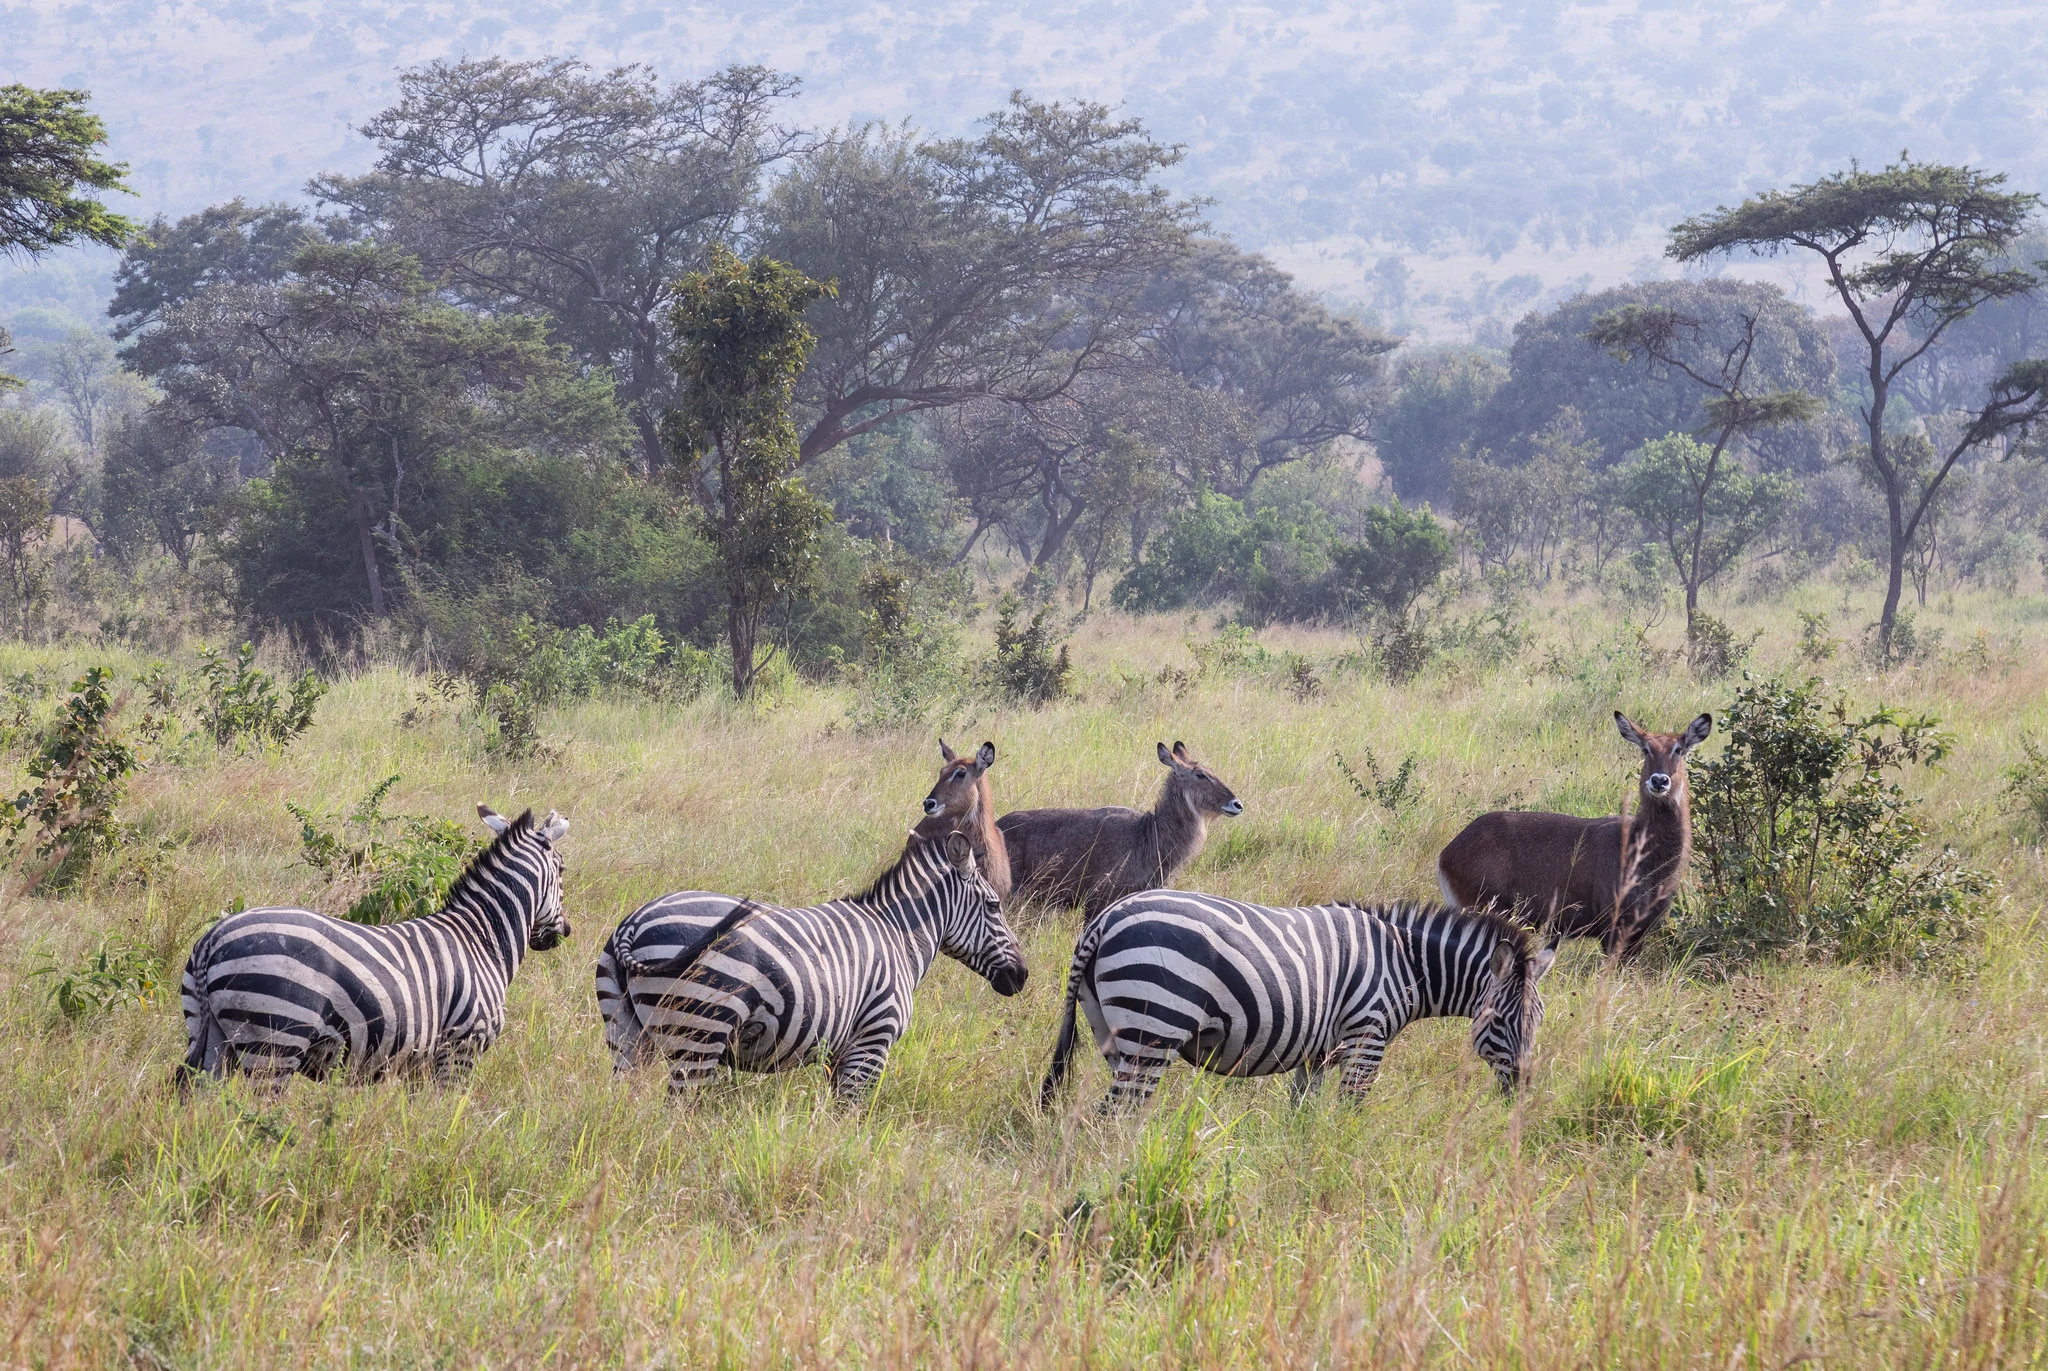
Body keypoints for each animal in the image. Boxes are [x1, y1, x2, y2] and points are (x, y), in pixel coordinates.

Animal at [179, 805, 572, 1088]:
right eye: (562, 870)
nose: (565, 931)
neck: (481, 939)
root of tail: (212, 940)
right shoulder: (460, 1050)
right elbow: (445, 1124)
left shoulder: (421, 1065)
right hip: (275, 1043)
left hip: (211, 1039)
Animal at [598, 830, 1028, 1100]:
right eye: (994, 906)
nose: (1022, 977)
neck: (898, 936)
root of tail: (633, 924)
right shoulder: (873, 1041)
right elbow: (850, 1117)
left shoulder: (842, 1050)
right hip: (699, 1033)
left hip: (626, 1035)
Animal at [1039, 892, 1556, 1113]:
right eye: (1502, 1020)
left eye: (1539, 1020)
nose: (1523, 1092)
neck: (1405, 966)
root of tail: (1105, 919)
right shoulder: (1366, 1040)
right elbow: (1350, 1114)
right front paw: (1341, 1164)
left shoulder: (1316, 1055)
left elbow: (1301, 1116)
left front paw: (1303, 1164)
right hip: (1155, 1026)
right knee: (1117, 1114)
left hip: (1115, 1034)